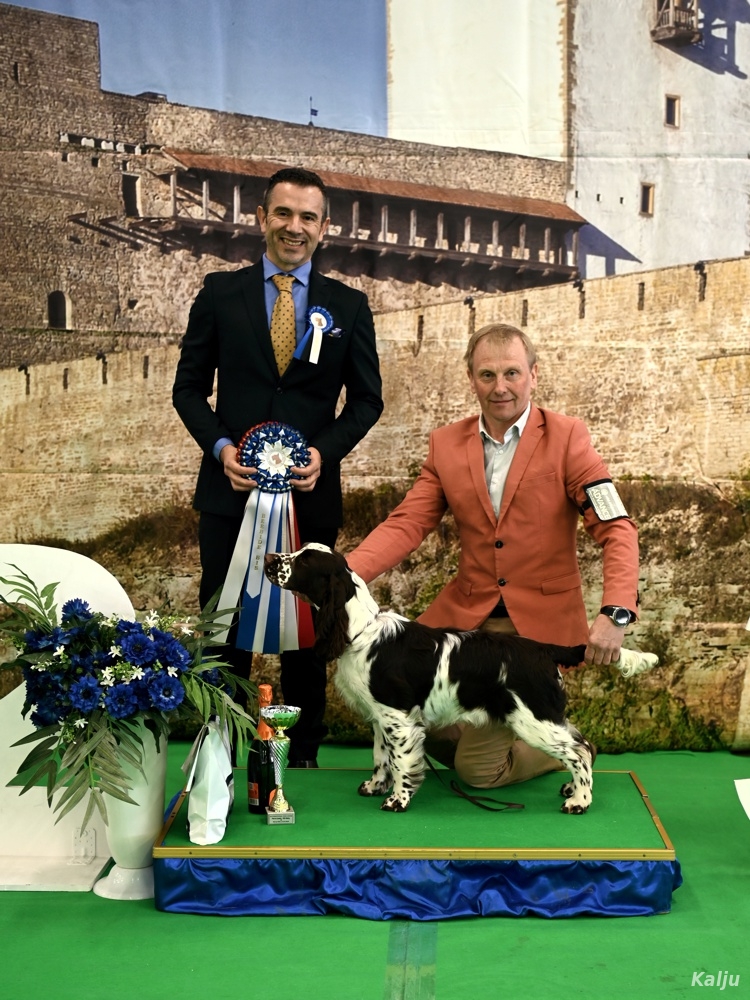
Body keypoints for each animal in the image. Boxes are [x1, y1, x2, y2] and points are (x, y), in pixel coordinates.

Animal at [263, 543, 658, 815]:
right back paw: (570, 789)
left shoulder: (399, 719)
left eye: (303, 562)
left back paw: (579, 801)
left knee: (578, 751)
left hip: (533, 718)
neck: (360, 630)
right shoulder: (380, 717)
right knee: (583, 743)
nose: (268, 558)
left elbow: (401, 761)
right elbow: (380, 756)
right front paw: (375, 786)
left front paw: (397, 800)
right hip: (543, 715)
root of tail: (544, 649)